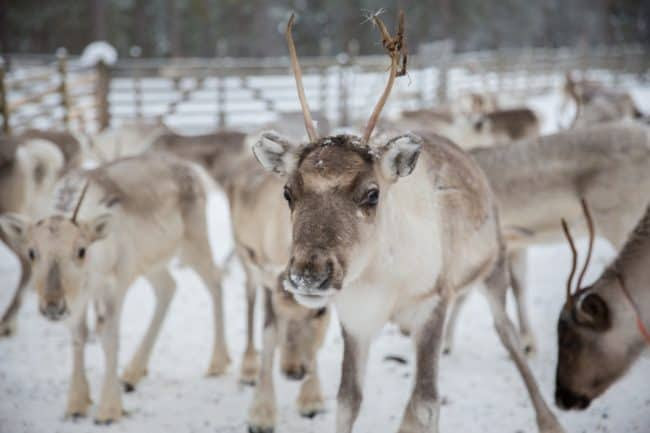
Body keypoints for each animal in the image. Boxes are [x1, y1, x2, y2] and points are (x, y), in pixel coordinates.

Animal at [0, 152, 230, 424]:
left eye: (81, 250)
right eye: (32, 252)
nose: (52, 307)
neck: (94, 270)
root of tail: (191, 169)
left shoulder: (116, 283)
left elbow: (110, 338)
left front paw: (109, 410)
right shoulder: (78, 298)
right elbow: (79, 337)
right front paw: (76, 404)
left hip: (192, 242)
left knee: (215, 280)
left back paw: (218, 363)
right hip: (149, 262)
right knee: (168, 287)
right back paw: (132, 373)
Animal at [250, 11, 564, 433]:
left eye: (372, 193)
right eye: (287, 192)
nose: (307, 276)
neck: (384, 279)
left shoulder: (432, 304)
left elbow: (424, 404)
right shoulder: (357, 319)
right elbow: (347, 401)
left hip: (493, 268)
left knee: (509, 335)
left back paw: (549, 417)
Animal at [442, 120, 650, 356]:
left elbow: (463, 295)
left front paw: (446, 344)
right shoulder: (514, 245)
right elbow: (518, 286)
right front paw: (528, 343)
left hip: (621, 221)